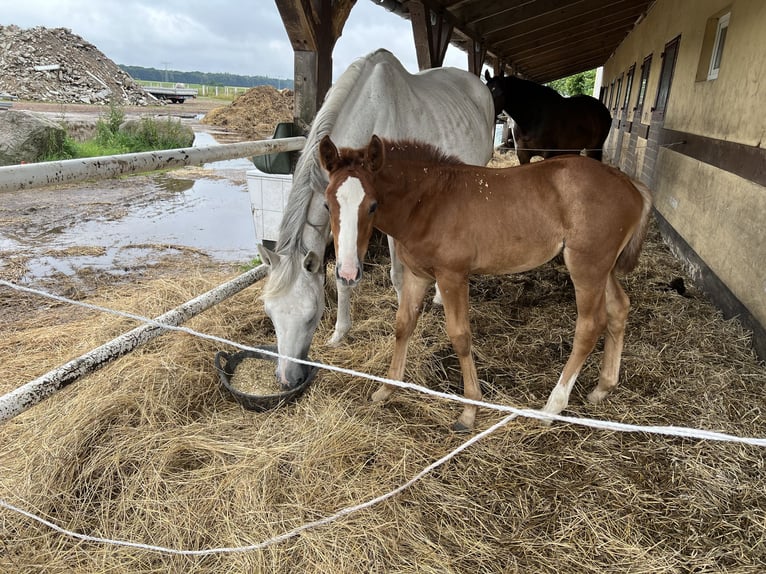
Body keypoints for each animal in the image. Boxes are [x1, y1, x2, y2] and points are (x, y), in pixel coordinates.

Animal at [258, 50, 496, 392]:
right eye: (270, 315)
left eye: (310, 315)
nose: (288, 380)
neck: (370, 111)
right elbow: (341, 276)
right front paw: (339, 332)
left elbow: (398, 277)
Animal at [320, 135, 652, 432]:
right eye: (326, 205)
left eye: (373, 205)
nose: (347, 272)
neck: (428, 202)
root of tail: (630, 184)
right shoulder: (418, 275)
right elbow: (403, 324)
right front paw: (387, 388)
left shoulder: (452, 275)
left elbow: (460, 336)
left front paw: (469, 411)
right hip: (603, 268)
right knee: (619, 308)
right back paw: (602, 388)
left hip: (587, 266)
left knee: (590, 325)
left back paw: (551, 408)